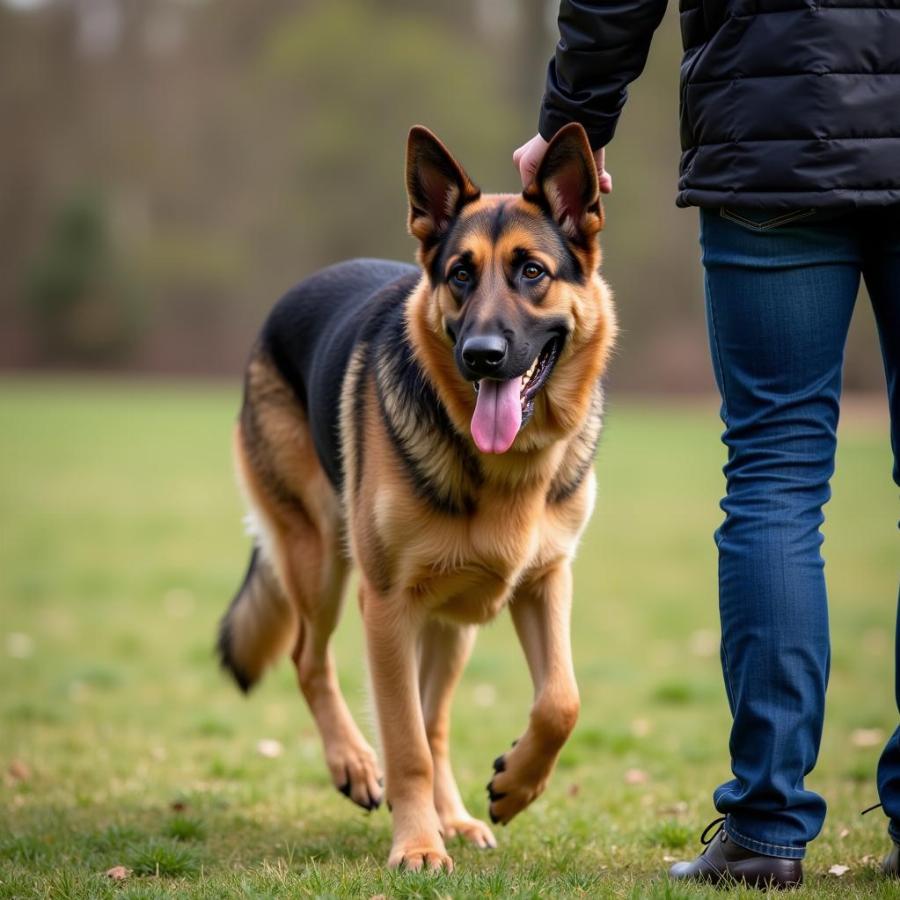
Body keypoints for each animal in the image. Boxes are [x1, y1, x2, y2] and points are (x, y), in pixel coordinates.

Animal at [215, 123, 616, 868]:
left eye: (532, 272)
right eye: (460, 274)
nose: (482, 355)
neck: (506, 470)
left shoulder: (545, 581)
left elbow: (561, 701)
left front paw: (515, 785)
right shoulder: (387, 607)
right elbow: (404, 744)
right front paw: (418, 847)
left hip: (454, 617)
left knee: (436, 719)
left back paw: (453, 815)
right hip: (321, 558)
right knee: (311, 661)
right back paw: (355, 765)